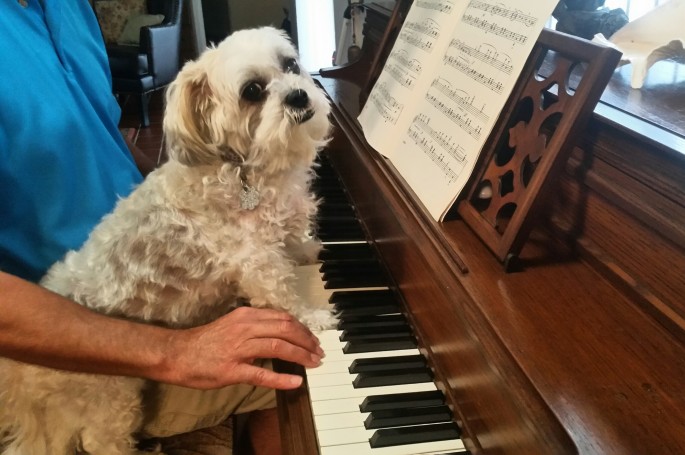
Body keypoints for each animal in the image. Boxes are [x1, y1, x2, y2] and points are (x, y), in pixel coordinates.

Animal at [0, 26, 336, 454]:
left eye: (290, 65)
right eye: (253, 91)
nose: (298, 95)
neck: (244, 169)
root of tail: (20, 381)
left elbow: (296, 248)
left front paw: (313, 250)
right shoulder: (256, 264)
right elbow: (286, 299)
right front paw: (315, 318)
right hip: (110, 397)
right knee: (99, 440)